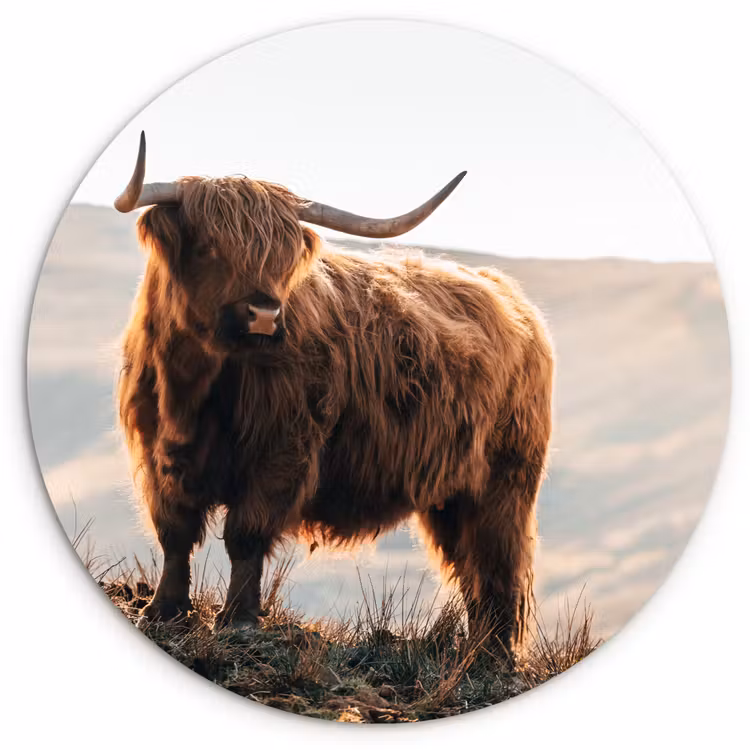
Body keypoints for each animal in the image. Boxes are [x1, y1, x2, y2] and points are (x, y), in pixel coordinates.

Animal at [115, 132, 554, 659]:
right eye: (209, 248)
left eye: (283, 258)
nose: (264, 314)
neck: (194, 388)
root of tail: (510, 297)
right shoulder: (158, 451)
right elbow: (175, 531)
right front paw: (164, 610)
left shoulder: (282, 452)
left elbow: (245, 534)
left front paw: (238, 620)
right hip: (450, 495)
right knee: (470, 566)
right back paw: (476, 650)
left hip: (504, 483)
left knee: (497, 564)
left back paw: (492, 656)